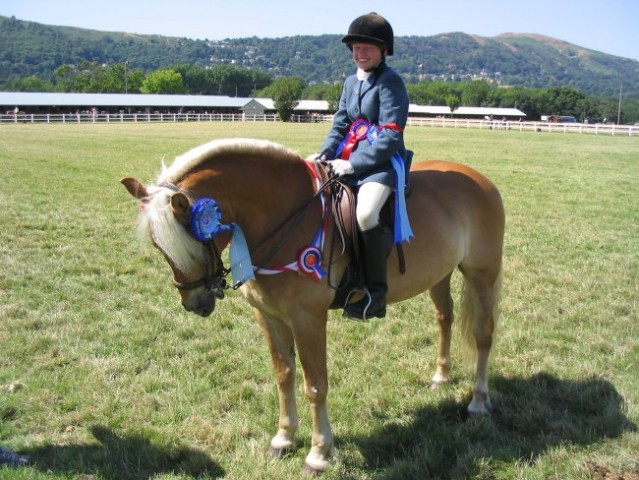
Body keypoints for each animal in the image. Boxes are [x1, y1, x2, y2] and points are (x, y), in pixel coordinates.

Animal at [121, 137, 504, 474]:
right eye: (159, 246)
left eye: (193, 242)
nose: (194, 302)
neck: (285, 217)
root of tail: (481, 180)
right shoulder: (269, 316)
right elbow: (284, 375)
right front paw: (283, 439)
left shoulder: (308, 319)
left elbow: (315, 384)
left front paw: (319, 454)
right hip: (440, 275)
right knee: (445, 317)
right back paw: (441, 376)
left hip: (482, 275)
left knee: (483, 335)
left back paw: (479, 402)